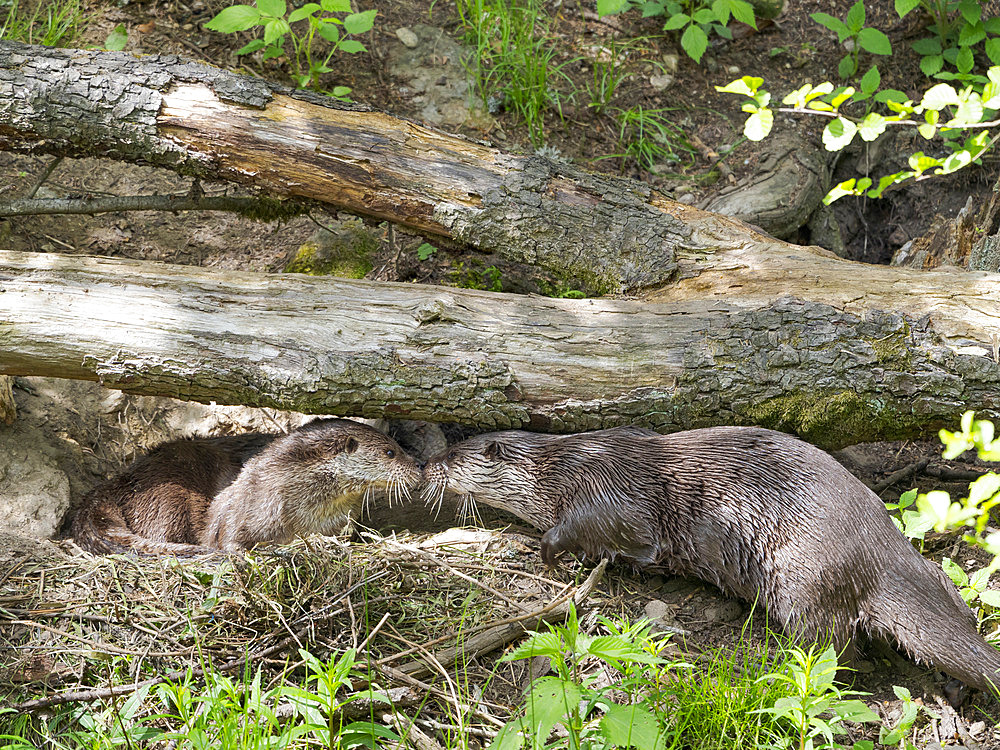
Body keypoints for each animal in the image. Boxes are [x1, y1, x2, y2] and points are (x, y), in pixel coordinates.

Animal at [71, 420, 422, 556]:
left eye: (400, 446)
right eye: (390, 452)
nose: (418, 465)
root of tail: (123, 478)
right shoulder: (245, 505)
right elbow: (227, 539)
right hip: (169, 498)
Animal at [422, 426, 1000, 696]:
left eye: (452, 455)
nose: (426, 463)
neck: (558, 470)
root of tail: (877, 551)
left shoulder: (607, 489)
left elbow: (594, 529)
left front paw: (549, 549)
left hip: (802, 578)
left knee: (834, 651)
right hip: (925, 571)